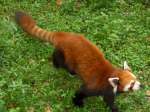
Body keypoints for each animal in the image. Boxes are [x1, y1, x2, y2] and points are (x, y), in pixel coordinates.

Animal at [15, 11, 143, 112]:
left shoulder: (109, 92)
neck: (111, 74)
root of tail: (64, 35)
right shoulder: (97, 86)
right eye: (131, 84)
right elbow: (81, 92)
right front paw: (78, 103)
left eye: (136, 79)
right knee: (60, 60)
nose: (141, 85)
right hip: (64, 53)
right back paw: (61, 67)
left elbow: (109, 100)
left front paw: (114, 108)